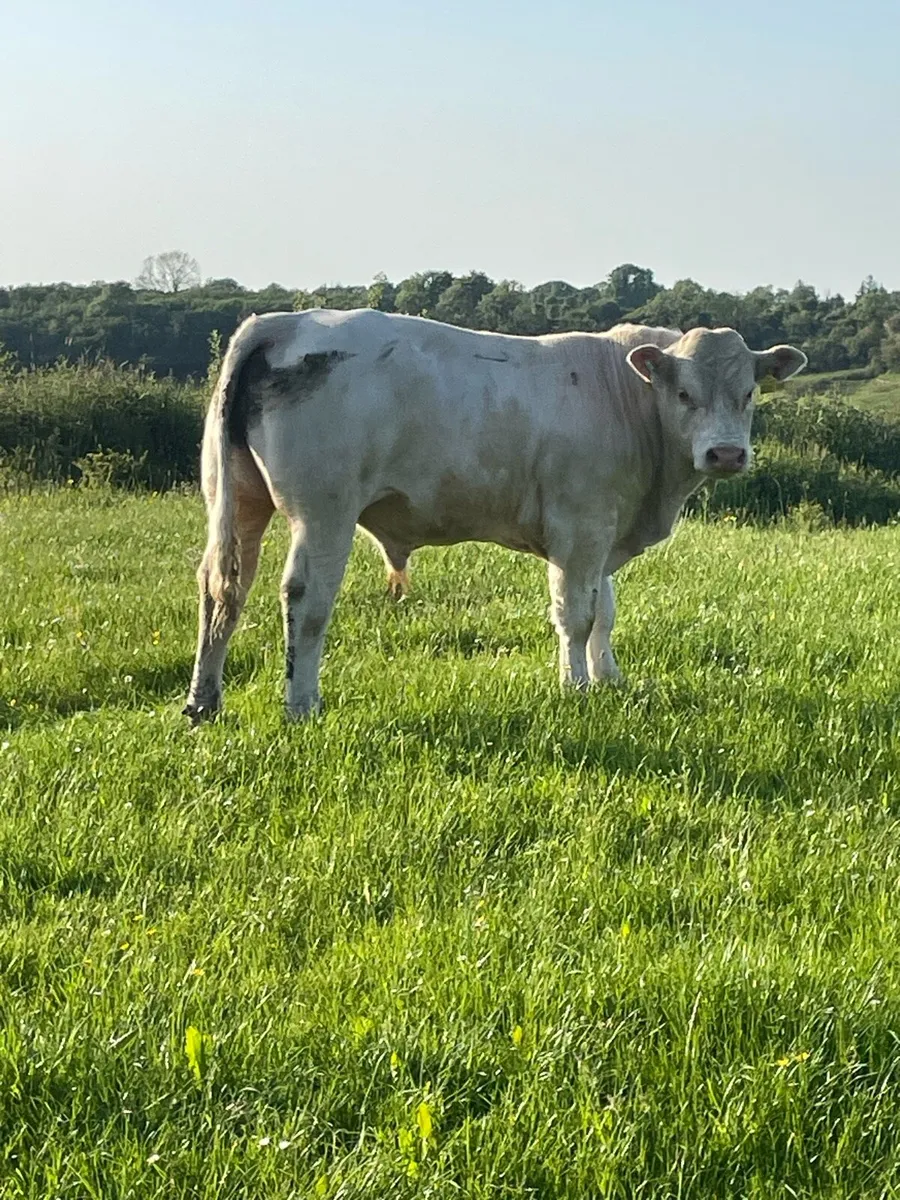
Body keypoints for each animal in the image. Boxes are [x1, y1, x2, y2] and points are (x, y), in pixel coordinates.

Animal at [183, 310, 806, 721]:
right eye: (683, 393)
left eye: (750, 392)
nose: (725, 453)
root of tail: (281, 321)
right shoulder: (580, 528)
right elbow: (577, 617)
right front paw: (577, 687)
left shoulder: (604, 530)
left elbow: (605, 612)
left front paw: (610, 678)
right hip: (323, 512)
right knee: (306, 601)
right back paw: (302, 704)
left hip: (238, 499)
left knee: (222, 587)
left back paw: (203, 702)